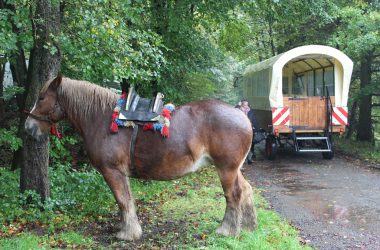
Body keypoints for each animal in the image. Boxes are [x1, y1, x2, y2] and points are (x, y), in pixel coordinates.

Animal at [25, 75, 256, 240]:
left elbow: (122, 200)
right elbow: (125, 200)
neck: (101, 119)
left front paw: (128, 233)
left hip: (226, 168)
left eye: (42, 98)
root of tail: (242, 117)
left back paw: (227, 230)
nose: (29, 127)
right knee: (246, 190)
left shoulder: (112, 171)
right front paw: (127, 228)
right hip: (234, 169)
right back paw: (248, 225)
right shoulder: (119, 173)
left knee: (233, 195)